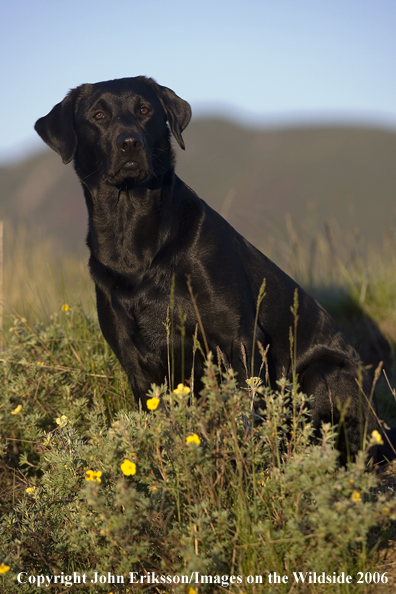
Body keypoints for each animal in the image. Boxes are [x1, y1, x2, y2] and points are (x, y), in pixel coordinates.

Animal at [34, 76, 392, 460]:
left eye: (145, 110)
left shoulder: (240, 339)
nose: (129, 142)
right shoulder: (134, 359)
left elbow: (248, 412)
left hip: (322, 372)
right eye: (98, 116)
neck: (133, 240)